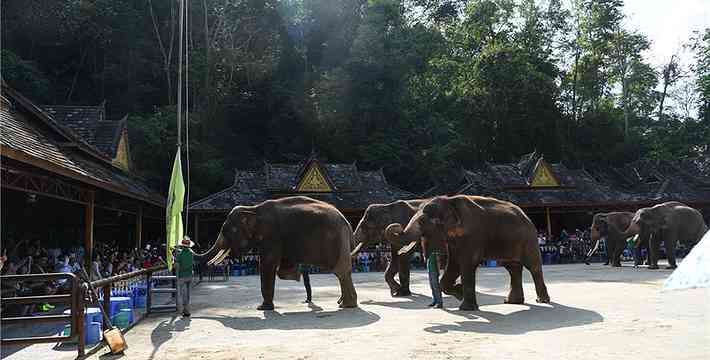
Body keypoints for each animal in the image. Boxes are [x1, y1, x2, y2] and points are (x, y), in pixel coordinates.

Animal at [197, 195, 356, 310]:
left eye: (228, 231)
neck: (253, 209)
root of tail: (347, 223)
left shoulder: (271, 236)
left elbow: (267, 264)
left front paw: (262, 308)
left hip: (338, 240)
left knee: (341, 271)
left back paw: (346, 305)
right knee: (342, 273)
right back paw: (343, 304)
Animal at [386, 195, 552, 310]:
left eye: (423, 222)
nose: (396, 225)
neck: (449, 201)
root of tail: (526, 215)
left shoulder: (473, 234)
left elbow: (467, 263)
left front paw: (465, 307)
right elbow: (454, 264)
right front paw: (460, 294)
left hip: (529, 239)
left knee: (533, 267)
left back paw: (542, 301)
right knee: (512, 268)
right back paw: (511, 302)